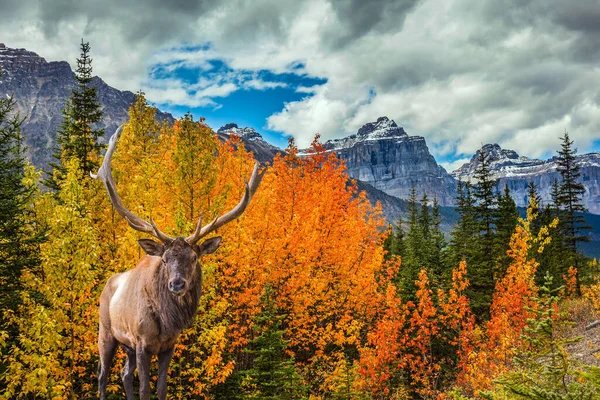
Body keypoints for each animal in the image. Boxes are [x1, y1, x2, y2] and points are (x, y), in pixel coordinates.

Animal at [94, 126, 262, 400]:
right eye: (164, 258)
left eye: (194, 258)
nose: (177, 284)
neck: (166, 321)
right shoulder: (142, 342)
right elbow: (145, 389)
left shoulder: (169, 345)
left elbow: (161, 388)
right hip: (106, 332)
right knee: (103, 374)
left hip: (127, 346)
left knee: (124, 374)